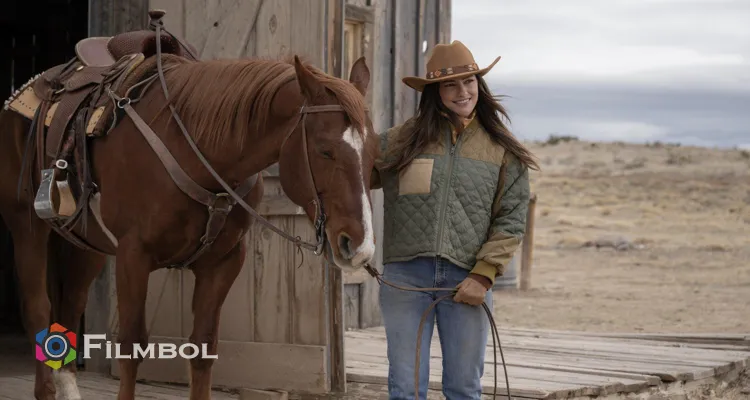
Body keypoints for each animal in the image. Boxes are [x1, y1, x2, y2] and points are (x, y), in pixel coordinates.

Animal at [0, 15, 378, 400]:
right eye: (325, 150)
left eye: (373, 152)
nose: (358, 245)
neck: (195, 148)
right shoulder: (134, 255)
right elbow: (131, 344)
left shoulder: (223, 262)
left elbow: (202, 347)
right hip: (27, 227)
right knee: (38, 309)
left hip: (87, 244)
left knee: (71, 304)